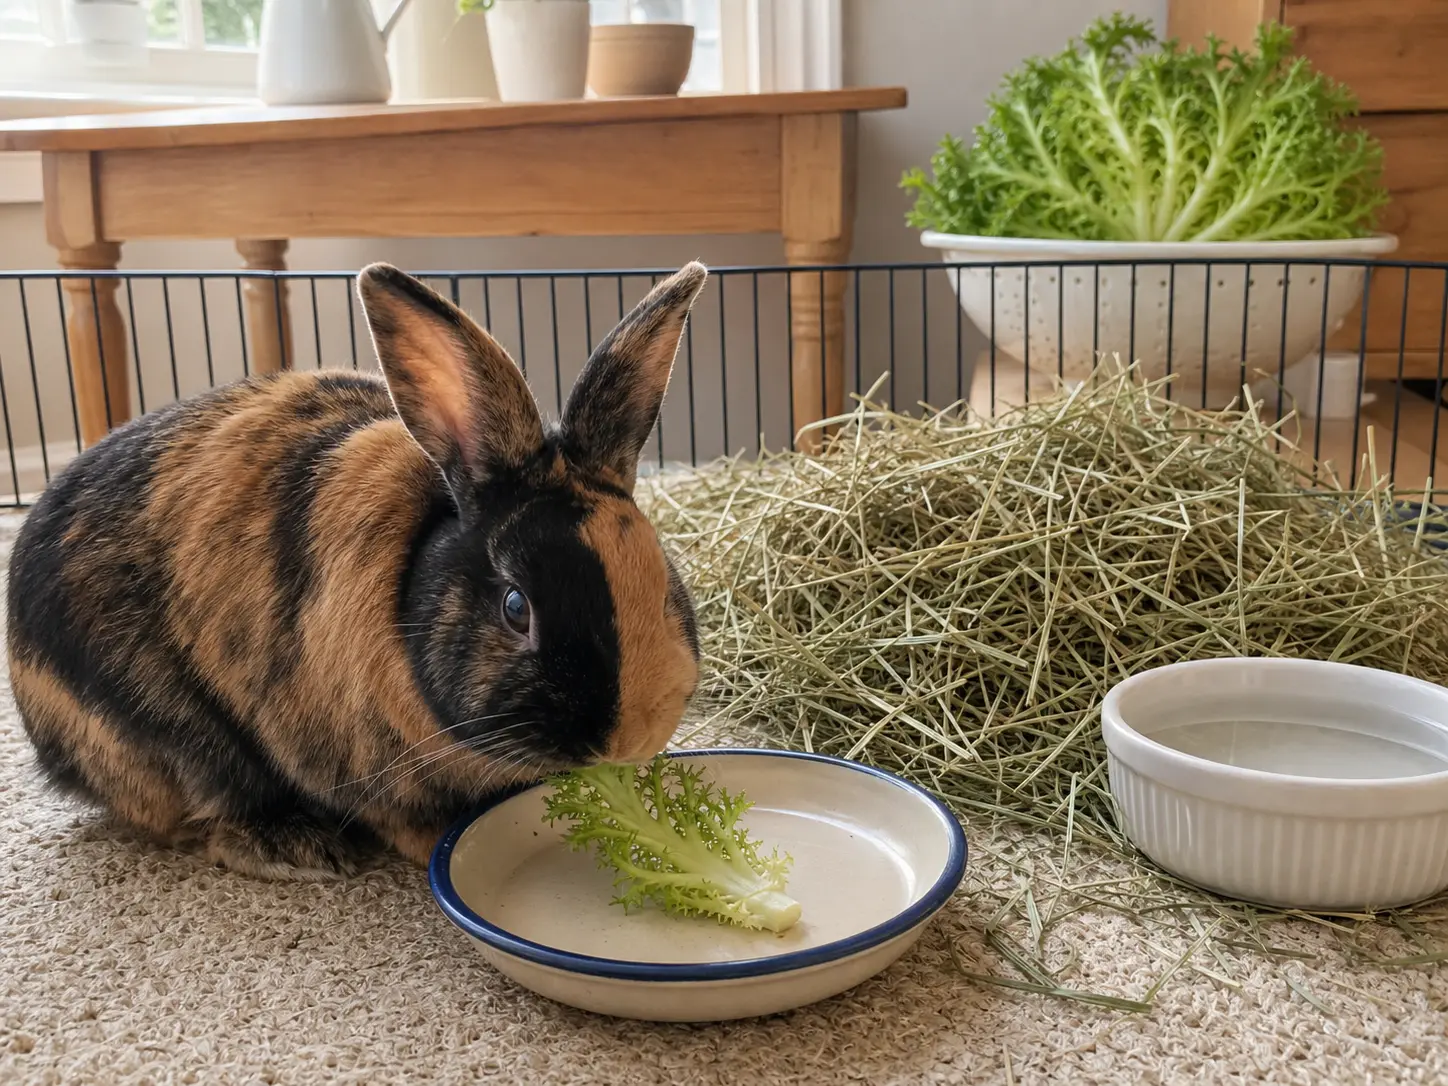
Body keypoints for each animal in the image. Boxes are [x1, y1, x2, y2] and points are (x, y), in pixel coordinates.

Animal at [7, 260, 708, 881]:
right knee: (203, 811)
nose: (626, 740)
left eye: (664, 579)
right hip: (170, 737)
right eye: (516, 608)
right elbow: (397, 817)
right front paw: (434, 842)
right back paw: (296, 849)